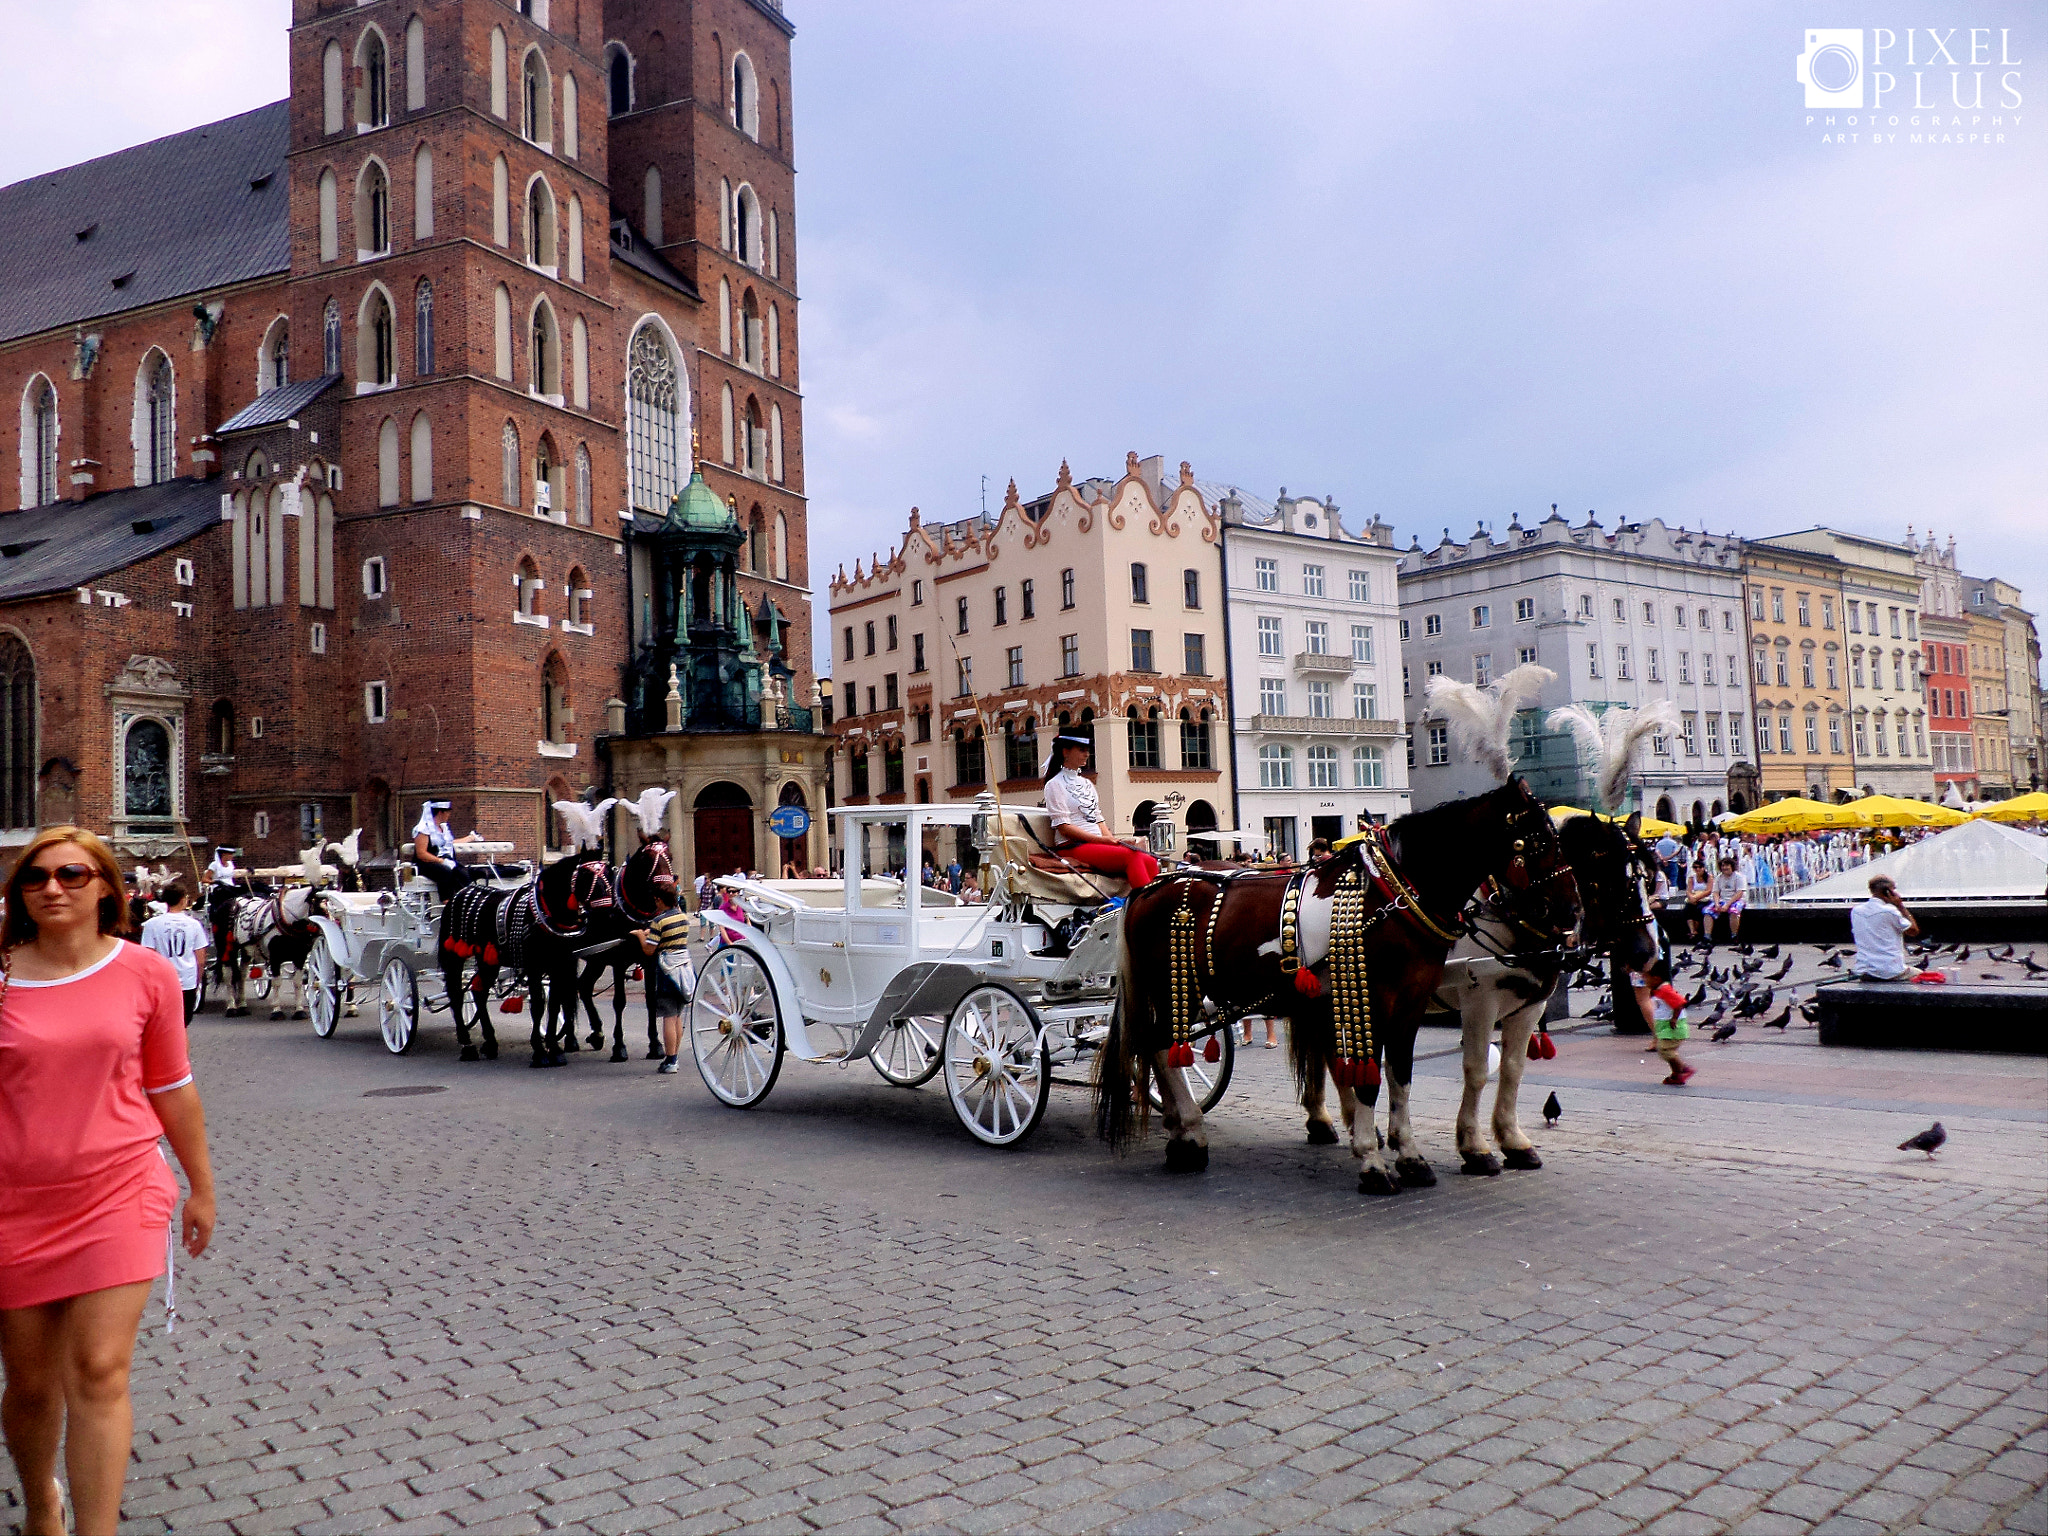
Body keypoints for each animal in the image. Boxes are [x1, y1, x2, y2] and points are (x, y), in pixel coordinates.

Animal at [436, 847, 610, 1064]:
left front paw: (554, 1048)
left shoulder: (559, 965)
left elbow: (554, 1004)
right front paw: (540, 1051)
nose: (606, 915)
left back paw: (490, 1043)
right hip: (454, 957)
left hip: (487, 960)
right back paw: (467, 1045)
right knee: (456, 996)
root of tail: (459, 894)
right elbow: (538, 1005)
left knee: (479, 992)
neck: (545, 914)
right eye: (586, 876)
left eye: (608, 873)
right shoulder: (534, 967)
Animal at [1097, 782, 1556, 1187]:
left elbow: (1402, 1075)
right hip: (1175, 990)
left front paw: (1409, 1155)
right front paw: (1373, 1163)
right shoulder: (1387, 1001)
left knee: (1156, 1049)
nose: (1562, 925)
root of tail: (1149, 886)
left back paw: (1180, 1130)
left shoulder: (1410, 1004)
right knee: (1161, 1048)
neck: (1392, 895)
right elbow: (1373, 1079)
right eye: (1535, 844)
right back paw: (1191, 1134)